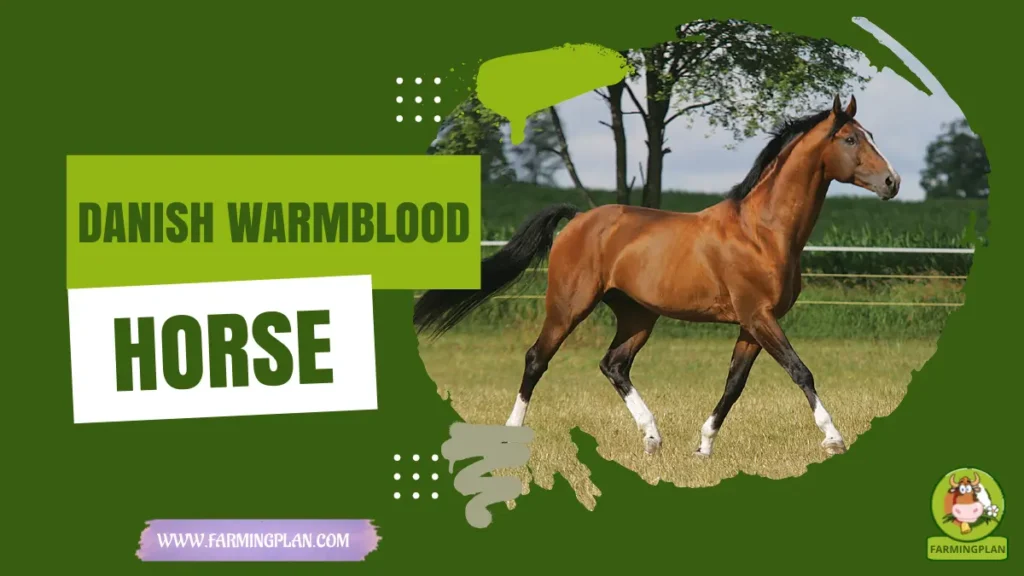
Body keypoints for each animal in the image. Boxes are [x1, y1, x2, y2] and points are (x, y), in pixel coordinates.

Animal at [414, 94, 900, 458]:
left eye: (871, 136)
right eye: (851, 138)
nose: (892, 182)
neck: (763, 232)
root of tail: (579, 219)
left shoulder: (751, 324)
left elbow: (734, 384)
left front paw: (703, 447)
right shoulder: (759, 317)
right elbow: (801, 372)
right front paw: (833, 438)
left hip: (637, 315)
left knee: (613, 364)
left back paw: (652, 438)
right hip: (569, 306)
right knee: (537, 358)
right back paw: (513, 434)